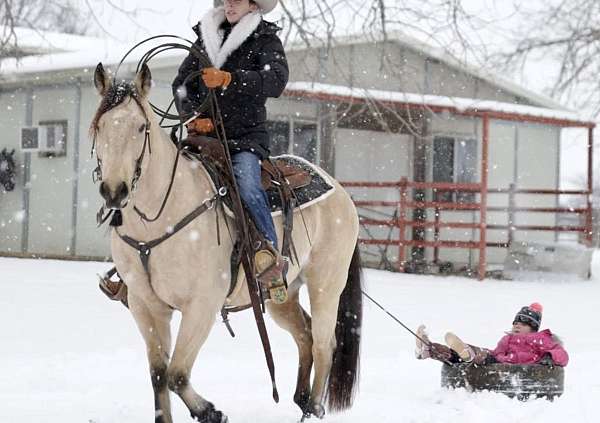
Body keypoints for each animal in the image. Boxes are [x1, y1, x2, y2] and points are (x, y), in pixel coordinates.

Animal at [89, 63, 360, 423]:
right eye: (100, 126)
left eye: (141, 126)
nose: (114, 191)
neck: (161, 218)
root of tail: (339, 189)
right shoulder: (145, 306)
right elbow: (159, 374)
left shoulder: (201, 306)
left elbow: (177, 374)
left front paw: (210, 412)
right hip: (282, 294)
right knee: (305, 334)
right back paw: (301, 399)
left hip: (326, 285)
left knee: (323, 343)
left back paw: (313, 409)